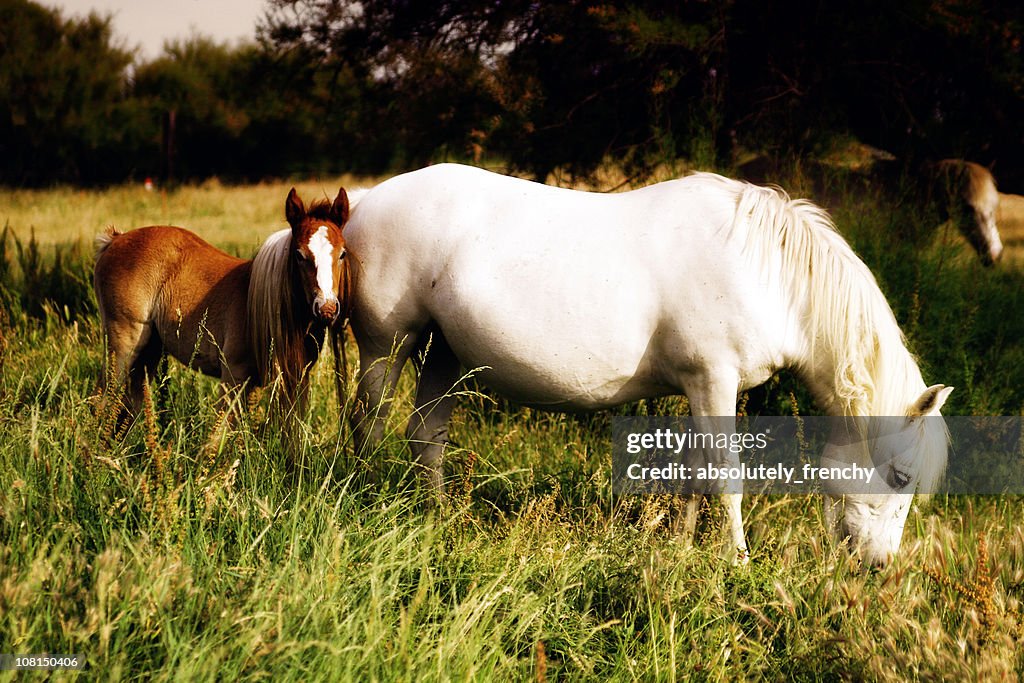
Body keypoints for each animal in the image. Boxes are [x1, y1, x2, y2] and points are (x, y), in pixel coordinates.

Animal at [96, 187, 352, 421]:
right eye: (299, 255)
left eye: (342, 254)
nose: (327, 309)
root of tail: (116, 239)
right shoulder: (233, 375)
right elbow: (220, 432)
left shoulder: (293, 379)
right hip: (123, 345)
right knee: (103, 401)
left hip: (149, 350)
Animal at [346, 163, 950, 565]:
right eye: (901, 476)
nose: (878, 566)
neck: (768, 273)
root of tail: (364, 200)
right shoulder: (713, 380)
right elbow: (727, 475)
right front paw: (737, 561)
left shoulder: (705, 388)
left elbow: (696, 475)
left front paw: (681, 549)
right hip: (386, 343)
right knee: (367, 423)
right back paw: (365, 499)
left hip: (443, 351)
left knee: (426, 434)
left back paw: (438, 517)